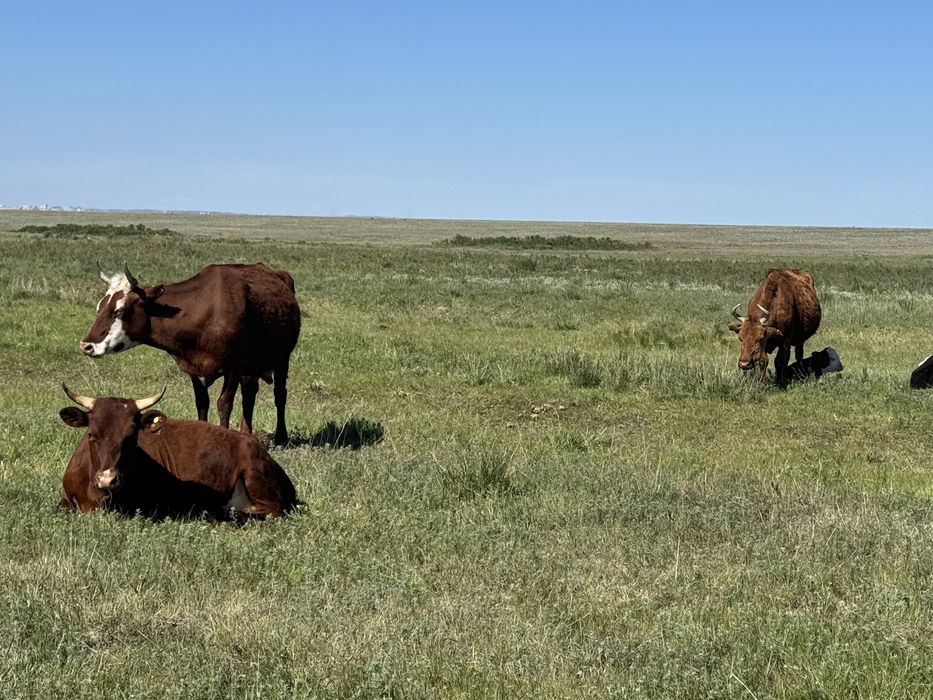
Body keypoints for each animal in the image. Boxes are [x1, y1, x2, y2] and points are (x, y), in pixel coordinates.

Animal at [80, 262, 300, 445]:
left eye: (119, 311)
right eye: (99, 307)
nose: (86, 345)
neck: (205, 311)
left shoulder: (234, 367)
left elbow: (224, 404)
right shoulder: (194, 367)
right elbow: (202, 404)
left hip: (282, 359)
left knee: (280, 395)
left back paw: (281, 436)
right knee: (249, 394)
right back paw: (246, 432)